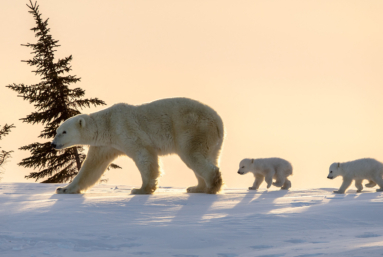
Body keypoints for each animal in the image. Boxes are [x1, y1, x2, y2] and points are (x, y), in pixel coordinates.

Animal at [51, 97, 225, 193]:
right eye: (56, 130)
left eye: (64, 132)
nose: (53, 144)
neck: (107, 124)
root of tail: (218, 121)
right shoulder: (106, 145)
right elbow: (91, 167)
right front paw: (63, 189)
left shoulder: (125, 128)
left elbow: (144, 155)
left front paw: (141, 189)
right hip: (211, 140)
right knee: (207, 157)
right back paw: (197, 187)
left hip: (192, 128)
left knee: (193, 155)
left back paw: (212, 186)